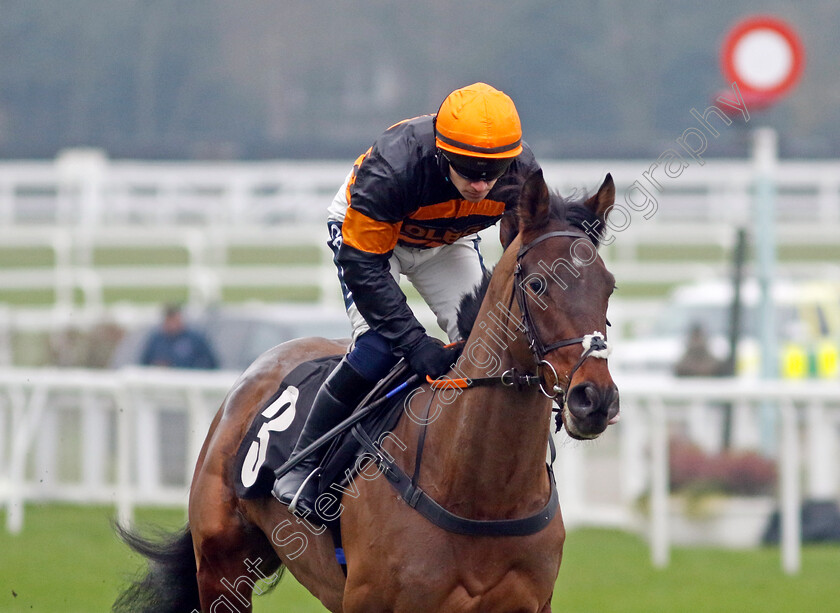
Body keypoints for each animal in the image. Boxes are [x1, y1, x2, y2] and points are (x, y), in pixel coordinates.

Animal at [115, 170, 616, 612]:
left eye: (609, 287)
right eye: (537, 284)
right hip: (222, 570)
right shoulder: (368, 599)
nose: (595, 399)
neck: (482, 494)